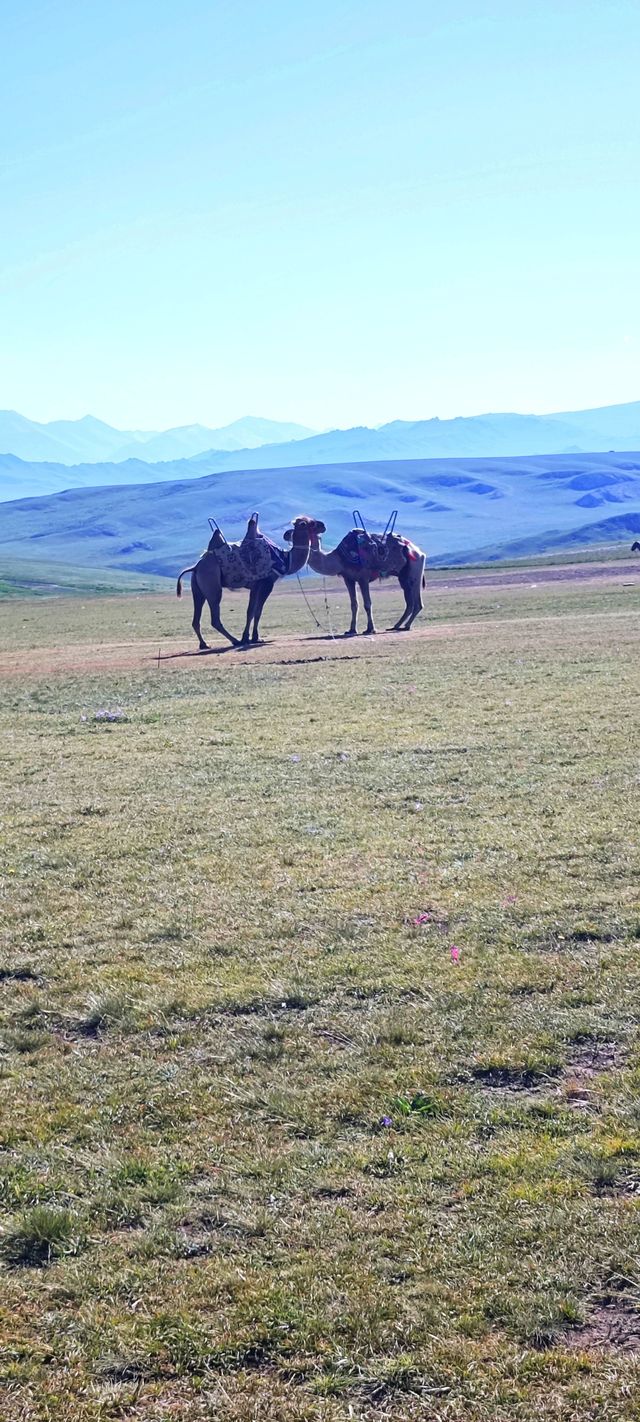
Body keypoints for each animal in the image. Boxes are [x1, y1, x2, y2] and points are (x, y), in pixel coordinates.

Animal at [176, 514, 311, 648]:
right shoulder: (266, 583)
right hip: (211, 584)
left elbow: (252, 611)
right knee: (214, 618)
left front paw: (250, 637)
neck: (285, 558)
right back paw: (234, 640)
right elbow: (256, 611)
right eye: (310, 524)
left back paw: (204, 644)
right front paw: (252, 638)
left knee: (196, 618)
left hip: (197, 588)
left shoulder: (256, 586)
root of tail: (196, 567)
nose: (320, 525)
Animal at [284, 517, 423, 634]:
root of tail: (418, 550)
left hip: (415, 569)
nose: (286, 534)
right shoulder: (348, 579)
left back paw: (406, 626)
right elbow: (354, 604)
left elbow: (367, 603)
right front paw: (351, 630)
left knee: (417, 602)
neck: (340, 558)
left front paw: (370, 629)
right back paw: (396, 626)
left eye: (305, 523)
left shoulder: (363, 578)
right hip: (403, 577)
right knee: (409, 602)